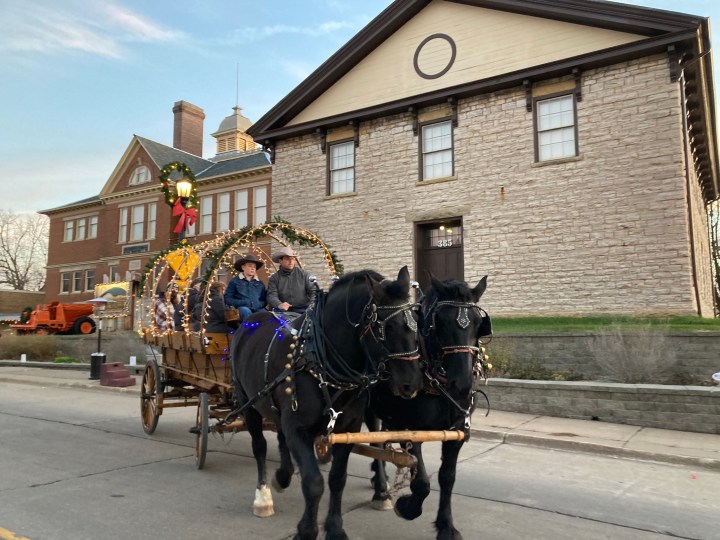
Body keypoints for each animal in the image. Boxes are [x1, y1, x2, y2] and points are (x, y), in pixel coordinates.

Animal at [229, 266, 422, 540]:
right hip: (249, 404)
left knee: (280, 434)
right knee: (259, 446)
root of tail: (251, 320)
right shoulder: (298, 426)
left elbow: (337, 480)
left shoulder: (347, 429)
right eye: (387, 327)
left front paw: (335, 528)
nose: (411, 384)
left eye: (416, 323)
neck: (319, 358)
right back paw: (263, 497)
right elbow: (313, 482)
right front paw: (306, 530)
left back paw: (283, 476)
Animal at [366, 274, 490, 540]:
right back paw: (381, 491)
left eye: (478, 323)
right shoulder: (409, 428)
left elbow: (447, 477)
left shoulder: (457, 430)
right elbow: (421, 482)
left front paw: (446, 526)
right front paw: (408, 507)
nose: (462, 384)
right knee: (375, 440)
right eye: (440, 322)